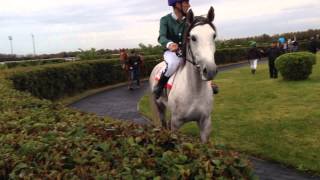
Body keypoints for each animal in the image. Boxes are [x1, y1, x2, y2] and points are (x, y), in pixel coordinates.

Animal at [150, 7, 218, 143]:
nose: (210, 70)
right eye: (193, 37)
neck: (195, 90)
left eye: (213, 35)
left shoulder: (205, 123)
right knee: (163, 122)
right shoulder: (176, 123)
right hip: (159, 105)